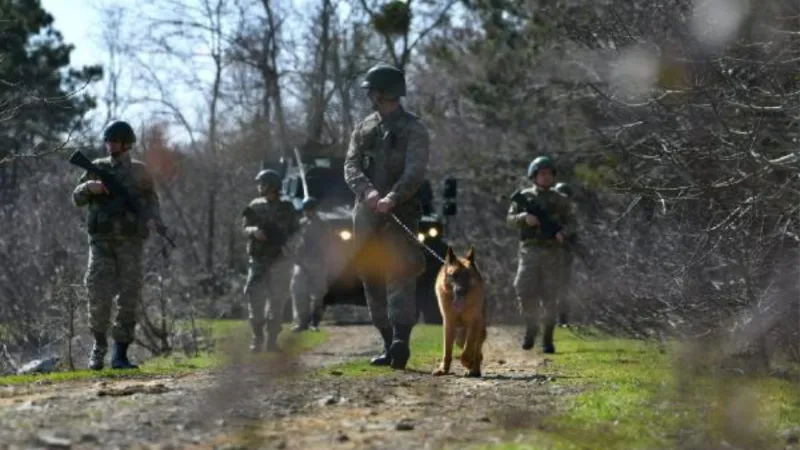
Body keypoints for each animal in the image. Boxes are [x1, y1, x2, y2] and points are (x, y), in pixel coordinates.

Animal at [432, 246, 488, 376]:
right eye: (454, 275)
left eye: (467, 276)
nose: (460, 291)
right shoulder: (449, 324)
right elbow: (447, 350)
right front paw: (443, 369)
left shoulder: (474, 324)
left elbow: (467, 351)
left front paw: (468, 363)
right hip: (459, 338)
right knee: (475, 351)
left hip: (477, 330)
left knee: (477, 351)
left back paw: (474, 369)